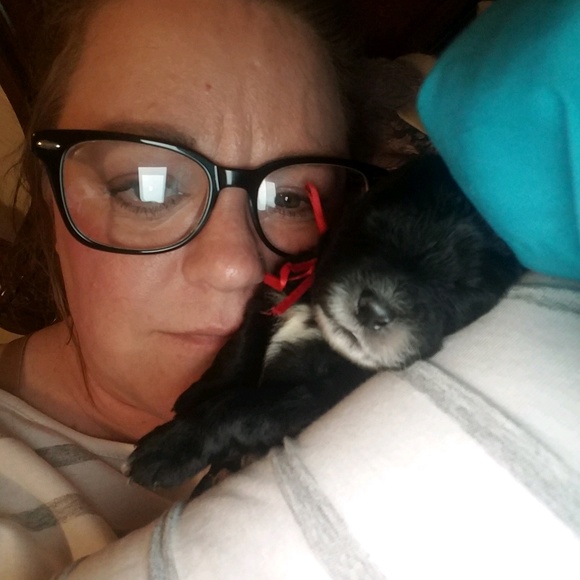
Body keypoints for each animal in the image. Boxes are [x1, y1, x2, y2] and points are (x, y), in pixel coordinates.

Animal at [128, 154, 525, 490]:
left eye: (462, 287)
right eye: (372, 225)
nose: (373, 309)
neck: (314, 320)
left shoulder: (310, 398)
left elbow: (237, 407)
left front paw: (169, 448)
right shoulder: (269, 298)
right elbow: (238, 352)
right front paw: (198, 393)